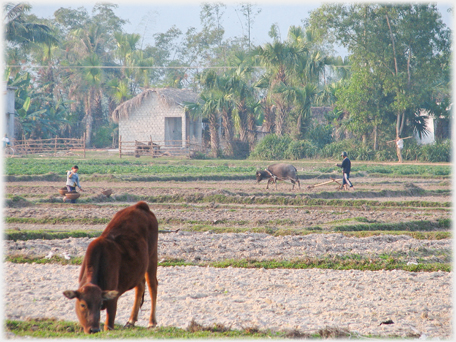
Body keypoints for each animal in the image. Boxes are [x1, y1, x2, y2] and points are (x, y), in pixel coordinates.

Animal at [62, 202, 159, 332]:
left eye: (99, 304)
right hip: (138, 268)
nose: (93, 330)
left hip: (152, 257)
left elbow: (108, 325)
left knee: (152, 285)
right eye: (83, 305)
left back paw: (152, 322)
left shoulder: (113, 299)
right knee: (140, 287)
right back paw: (131, 320)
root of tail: (140, 205)